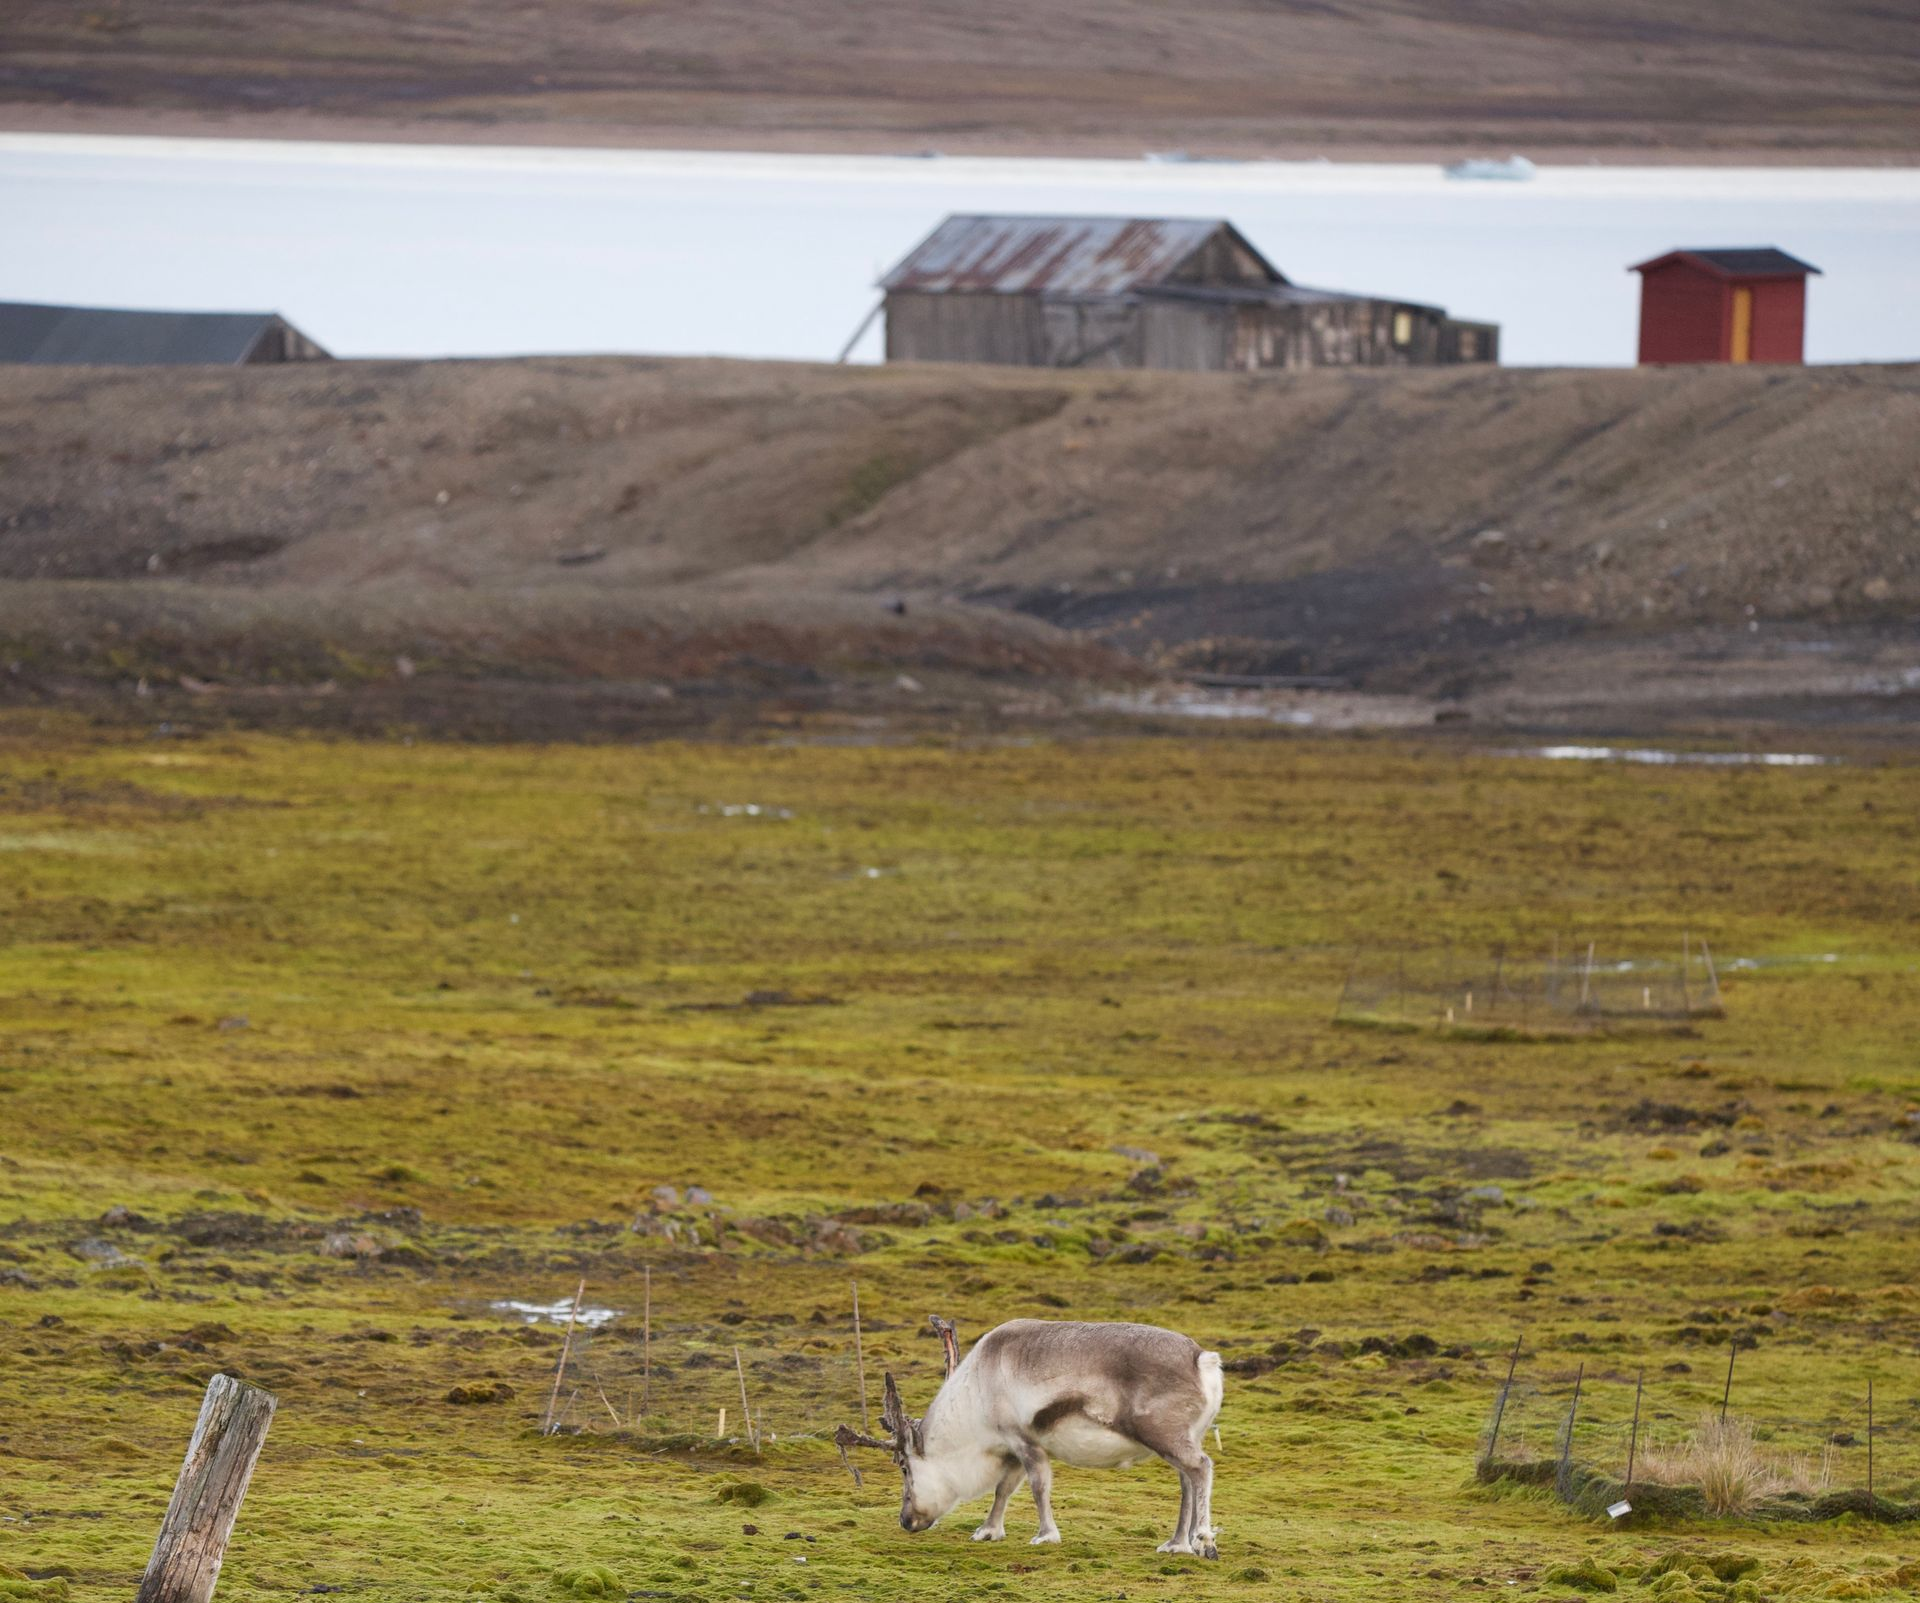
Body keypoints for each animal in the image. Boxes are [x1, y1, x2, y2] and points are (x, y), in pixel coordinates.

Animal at [835, 1316, 1224, 1558]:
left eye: (903, 1466)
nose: (905, 1520)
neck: (976, 1395)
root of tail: (1203, 1359)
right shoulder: (1012, 1449)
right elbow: (1004, 1489)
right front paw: (988, 1530)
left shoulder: (1024, 1440)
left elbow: (1037, 1487)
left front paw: (1045, 1535)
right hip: (1181, 1437)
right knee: (1187, 1480)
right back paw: (1176, 1543)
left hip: (1164, 1433)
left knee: (1201, 1467)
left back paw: (1203, 1540)